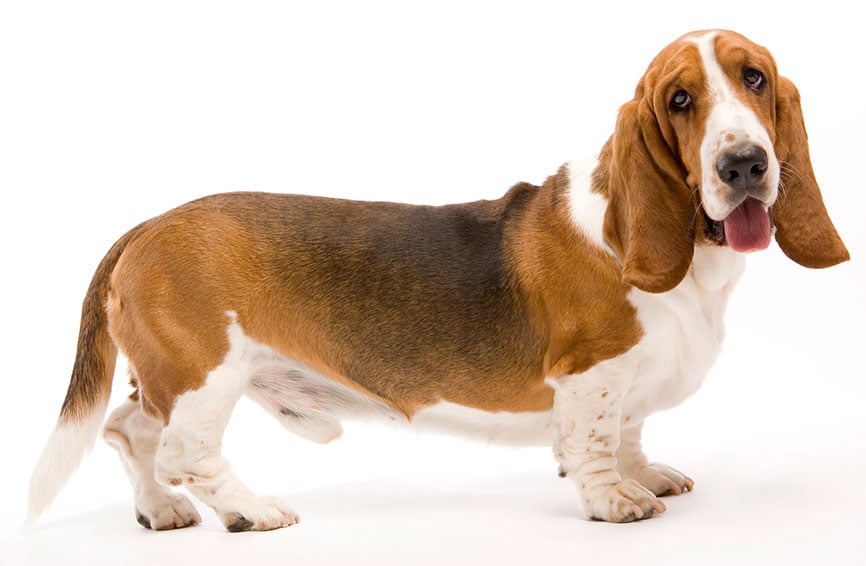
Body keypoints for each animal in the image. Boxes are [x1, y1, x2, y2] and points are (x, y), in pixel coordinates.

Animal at [27, 28, 844, 532]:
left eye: (755, 78)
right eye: (679, 101)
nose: (744, 165)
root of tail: (144, 226)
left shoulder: (630, 383)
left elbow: (631, 430)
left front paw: (645, 472)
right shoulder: (593, 373)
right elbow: (595, 442)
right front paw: (617, 499)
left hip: (173, 381)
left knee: (128, 430)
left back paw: (161, 511)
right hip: (206, 377)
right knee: (182, 453)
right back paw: (252, 511)